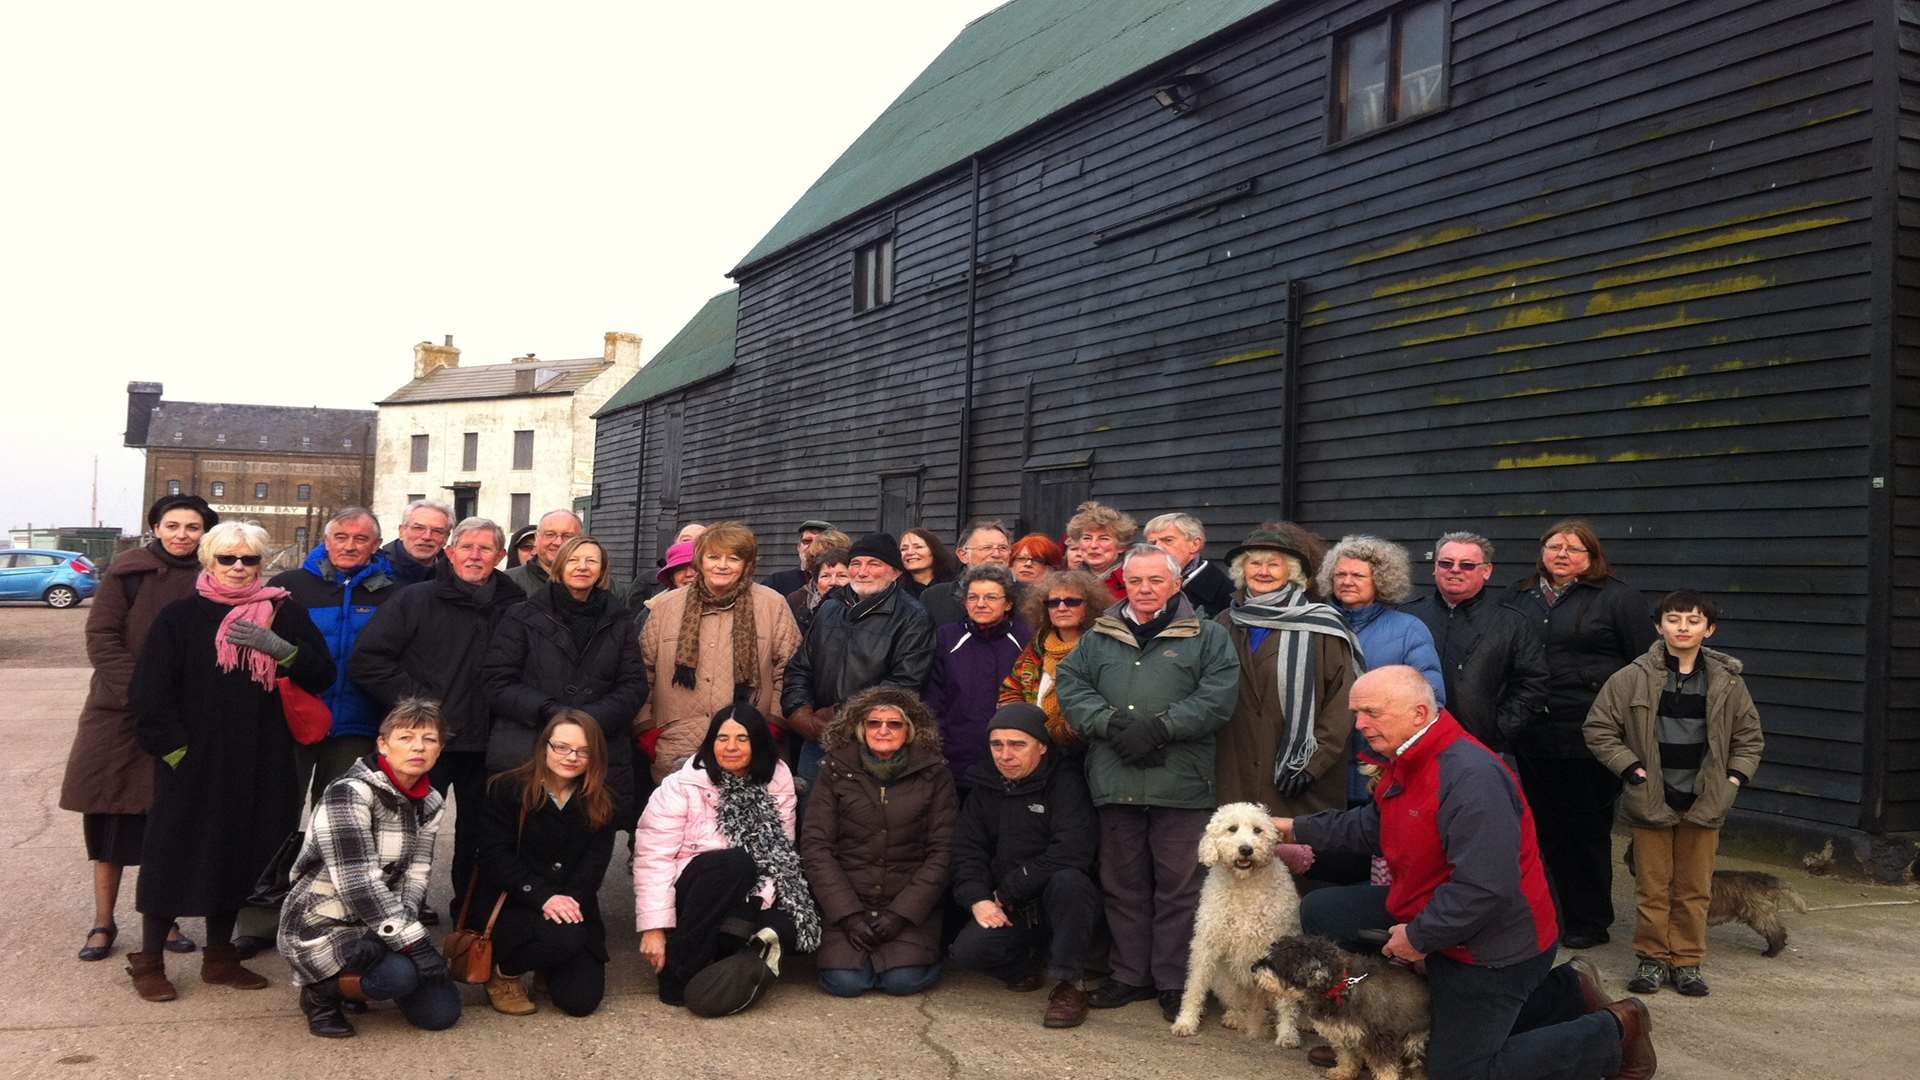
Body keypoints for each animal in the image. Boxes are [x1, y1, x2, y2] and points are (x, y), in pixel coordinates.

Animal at [1167, 799, 1305, 1045]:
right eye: (1232, 829)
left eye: (1258, 830)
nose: (1246, 849)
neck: (1244, 886)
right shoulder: (1206, 944)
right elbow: (1194, 986)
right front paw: (1186, 1021)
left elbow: (1287, 1004)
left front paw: (1288, 1033)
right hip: (1225, 983)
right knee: (1240, 1005)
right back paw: (1237, 1017)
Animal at [1244, 933, 1428, 1076]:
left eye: (1277, 963)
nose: (1252, 968)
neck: (1340, 986)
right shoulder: (1344, 1031)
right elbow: (1347, 1056)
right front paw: (1343, 1072)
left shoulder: (1379, 1039)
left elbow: (1385, 1069)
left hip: (1416, 1041)